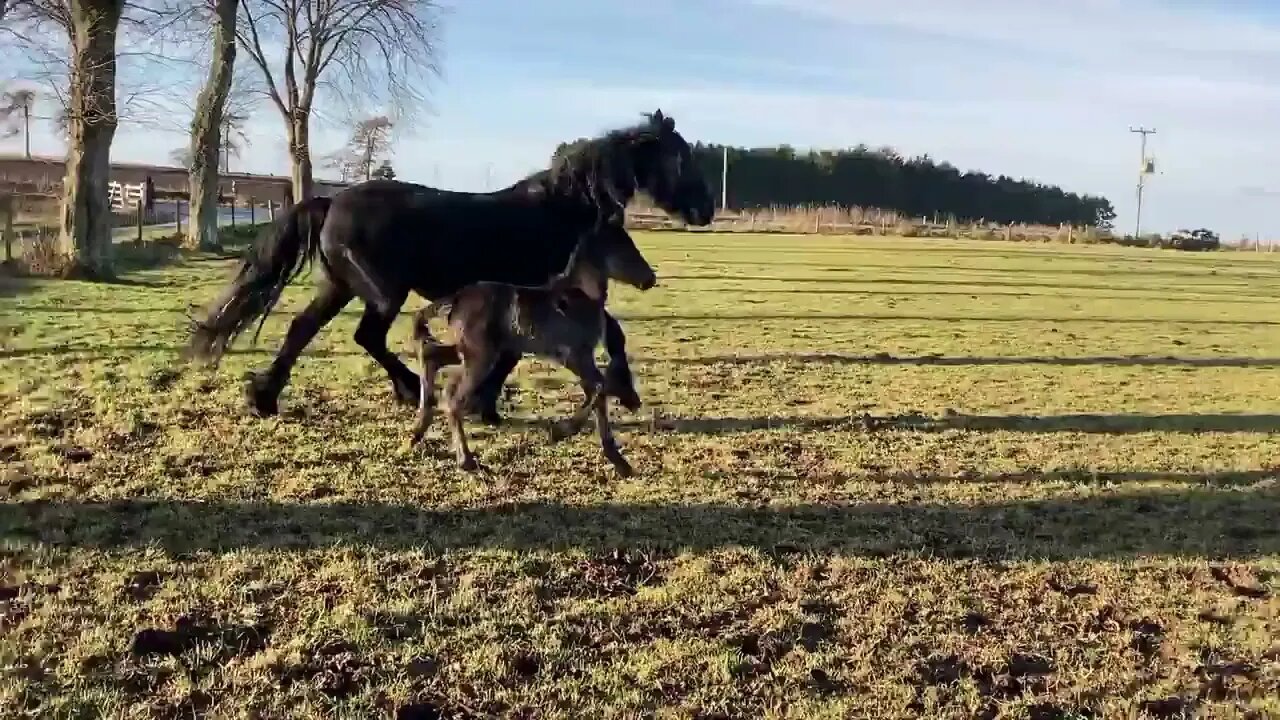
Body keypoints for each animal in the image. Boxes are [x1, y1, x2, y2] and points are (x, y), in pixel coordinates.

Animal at [185, 107, 716, 415]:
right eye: (681, 159)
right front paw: (483, 403)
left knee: (303, 329)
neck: (562, 210)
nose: (706, 211)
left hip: (342, 286)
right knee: (365, 336)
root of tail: (331, 202)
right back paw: (408, 388)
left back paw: (263, 398)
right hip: (382, 292)